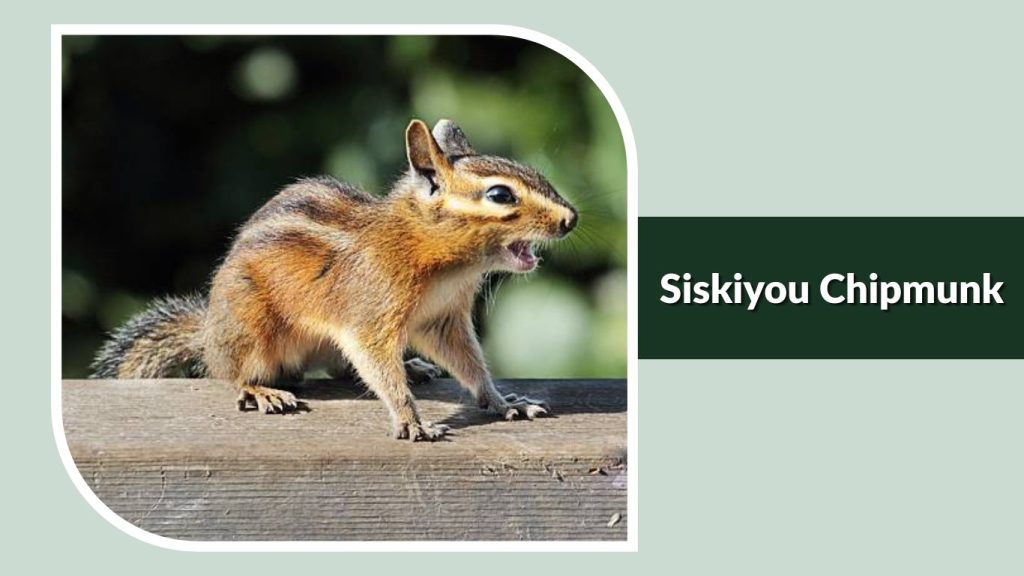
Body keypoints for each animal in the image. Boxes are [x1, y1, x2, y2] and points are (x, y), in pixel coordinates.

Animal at [90, 119, 578, 441]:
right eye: (500, 195)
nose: (571, 219)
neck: (442, 260)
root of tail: (208, 331)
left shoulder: (443, 319)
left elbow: (469, 363)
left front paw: (502, 402)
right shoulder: (371, 315)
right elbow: (378, 363)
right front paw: (411, 420)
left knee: (342, 367)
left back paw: (413, 368)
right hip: (249, 324)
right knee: (230, 373)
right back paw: (261, 390)